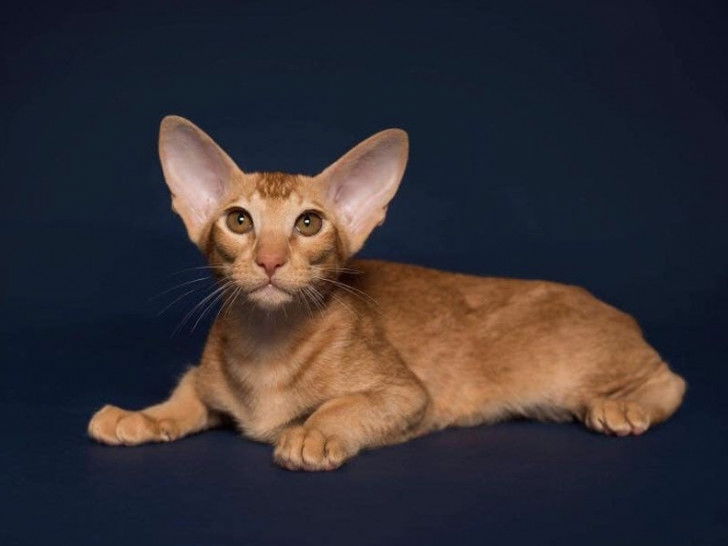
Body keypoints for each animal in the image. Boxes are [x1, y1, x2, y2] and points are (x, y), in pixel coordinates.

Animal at [88, 116, 686, 471]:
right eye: (239, 221)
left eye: (308, 224)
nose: (270, 260)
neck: (268, 344)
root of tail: (618, 312)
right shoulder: (205, 378)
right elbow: (185, 397)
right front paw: (142, 417)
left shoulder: (409, 396)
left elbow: (345, 406)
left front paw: (310, 433)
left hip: (575, 373)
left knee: (671, 380)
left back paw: (622, 408)